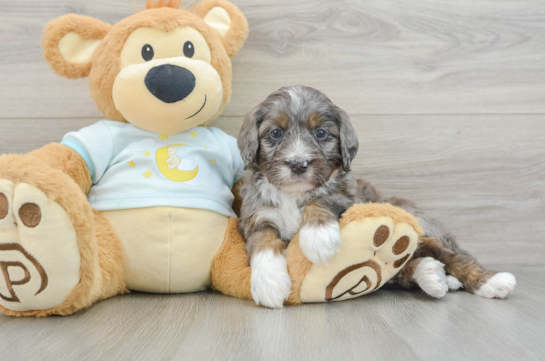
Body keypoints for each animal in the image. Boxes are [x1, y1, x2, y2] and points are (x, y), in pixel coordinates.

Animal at [237, 84, 516, 306]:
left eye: (321, 133)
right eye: (275, 133)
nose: (298, 164)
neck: (293, 195)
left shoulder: (350, 198)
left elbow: (323, 198)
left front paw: (317, 238)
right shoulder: (255, 217)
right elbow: (262, 241)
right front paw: (269, 282)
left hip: (421, 224)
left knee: (452, 255)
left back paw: (490, 281)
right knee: (406, 268)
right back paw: (431, 275)